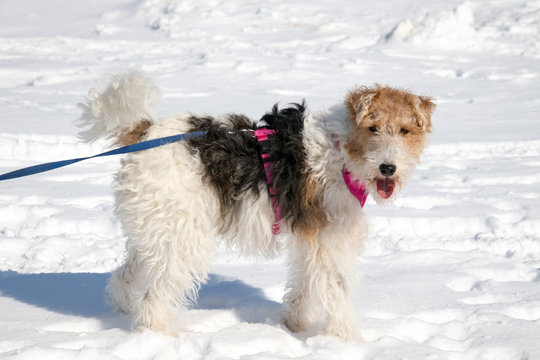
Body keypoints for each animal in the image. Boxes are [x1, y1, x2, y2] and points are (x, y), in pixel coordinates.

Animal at [79, 70, 434, 340]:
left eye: (404, 130)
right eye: (373, 127)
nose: (388, 168)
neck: (342, 150)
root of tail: (144, 132)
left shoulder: (310, 240)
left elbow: (304, 285)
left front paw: (295, 325)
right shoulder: (329, 242)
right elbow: (337, 291)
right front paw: (346, 341)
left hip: (158, 229)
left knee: (125, 276)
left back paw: (125, 311)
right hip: (182, 237)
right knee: (154, 298)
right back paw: (163, 336)